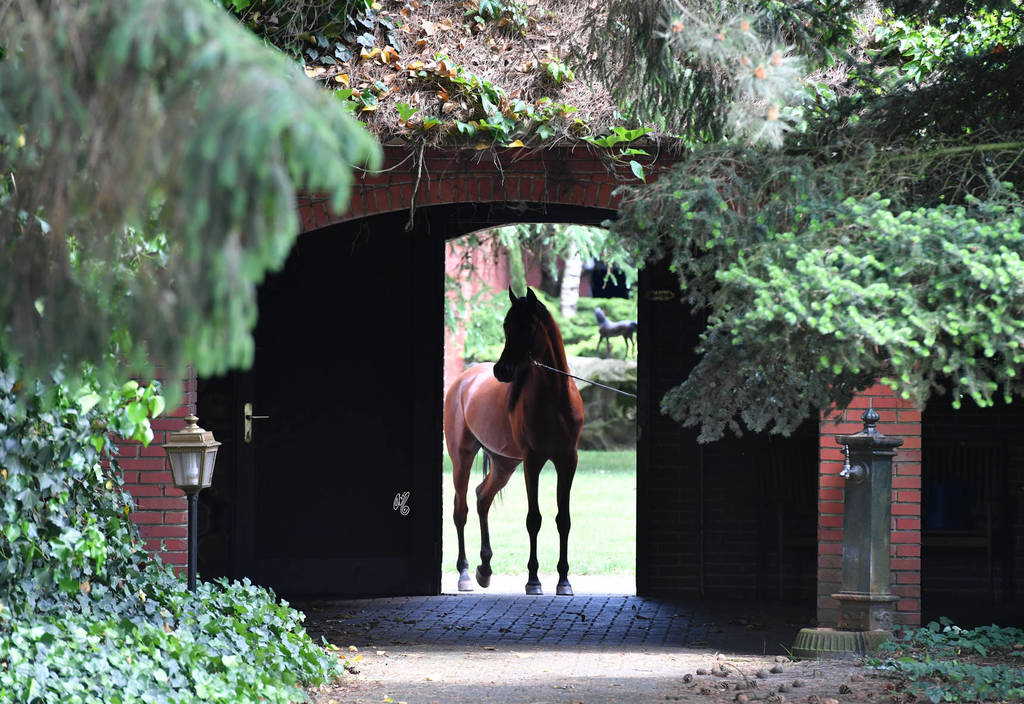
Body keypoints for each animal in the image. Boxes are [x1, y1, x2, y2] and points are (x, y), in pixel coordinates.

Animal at [444, 287, 584, 596]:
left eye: (528, 326)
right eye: (506, 326)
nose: (501, 371)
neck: (555, 400)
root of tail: (463, 380)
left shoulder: (567, 460)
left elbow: (564, 520)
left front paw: (564, 580)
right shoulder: (533, 462)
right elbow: (534, 520)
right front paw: (533, 580)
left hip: (504, 464)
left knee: (482, 497)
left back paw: (485, 569)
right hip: (462, 458)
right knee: (461, 510)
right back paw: (465, 573)